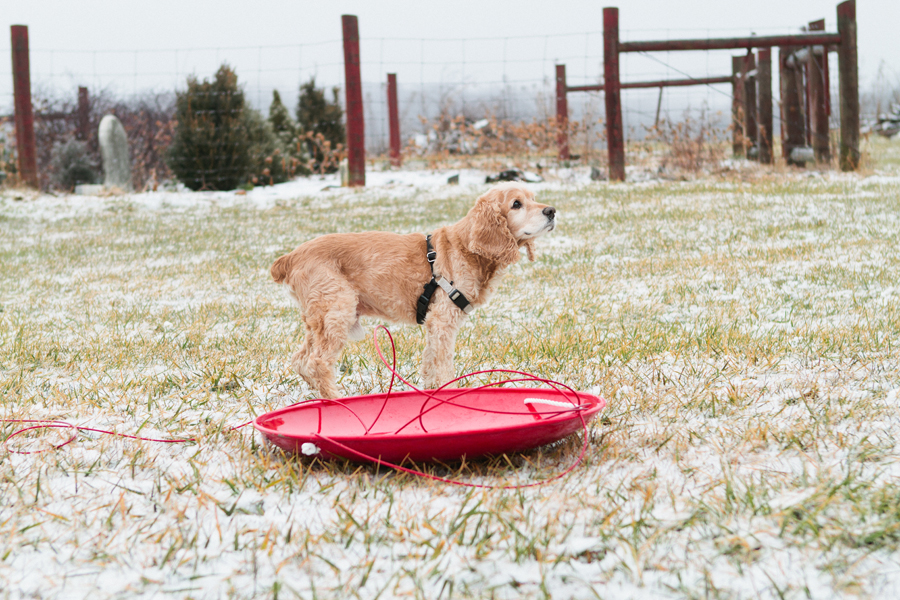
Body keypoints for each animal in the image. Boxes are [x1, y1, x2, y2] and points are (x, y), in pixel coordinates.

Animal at [270, 182, 556, 399]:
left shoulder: (434, 324)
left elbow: (430, 363)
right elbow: (444, 365)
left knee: (300, 360)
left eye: (533, 198)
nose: (552, 211)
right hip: (337, 311)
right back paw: (335, 400)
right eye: (516, 204)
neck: (466, 247)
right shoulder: (443, 320)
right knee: (317, 363)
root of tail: (290, 257)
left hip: (319, 318)